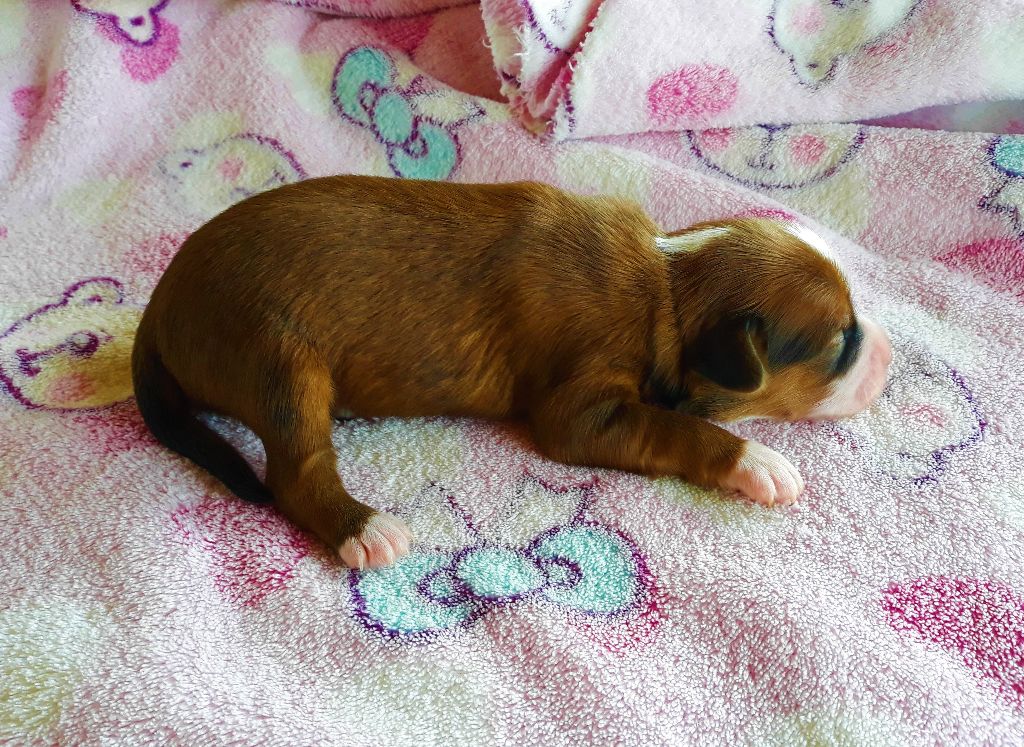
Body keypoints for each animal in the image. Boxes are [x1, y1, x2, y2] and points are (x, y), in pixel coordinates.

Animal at [132, 176, 892, 569]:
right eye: (841, 343)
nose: (889, 354)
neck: (669, 285)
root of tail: (160, 305)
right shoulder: (582, 411)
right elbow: (681, 429)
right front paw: (760, 461)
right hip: (278, 357)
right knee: (296, 471)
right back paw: (367, 530)